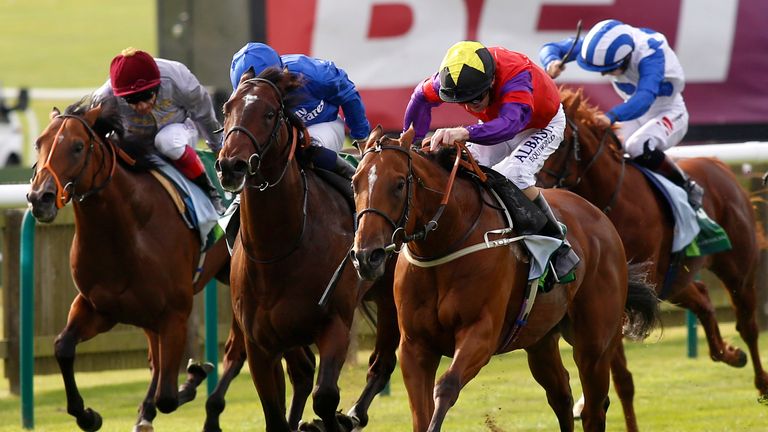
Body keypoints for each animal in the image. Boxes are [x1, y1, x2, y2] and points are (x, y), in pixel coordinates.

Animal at [27, 98, 231, 432]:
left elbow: (168, 396)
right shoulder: (98, 307)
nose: (39, 198)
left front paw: (193, 376)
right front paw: (87, 415)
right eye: (38, 143)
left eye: (78, 147)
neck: (126, 231)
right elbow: (62, 347)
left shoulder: (175, 314)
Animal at [213, 69, 400, 430]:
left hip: (391, 296)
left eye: (269, 113)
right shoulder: (260, 344)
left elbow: (325, 397)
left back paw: (353, 415)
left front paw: (331, 421)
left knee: (382, 362)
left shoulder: (334, 324)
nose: (231, 165)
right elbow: (275, 414)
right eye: (227, 109)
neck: (279, 247)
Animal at [352, 126, 656, 430]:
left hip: (595, 344)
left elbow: (447, 386)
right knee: (561, 395)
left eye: (399, 184)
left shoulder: (481, 333)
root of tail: (601, 218)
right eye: (355, 183)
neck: (446, 241)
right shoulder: (415, 346)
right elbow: (421, 413)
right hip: (540, 339)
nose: (367, 256)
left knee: (594, 408)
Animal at [540, 89, 768, 404]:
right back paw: (729, 353)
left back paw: (761, 382)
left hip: (737, 270)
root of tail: (717, 164)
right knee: (702, 296)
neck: (613, 198)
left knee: (747, 324)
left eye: (559, 141)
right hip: (673, 279)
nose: (535, 184)